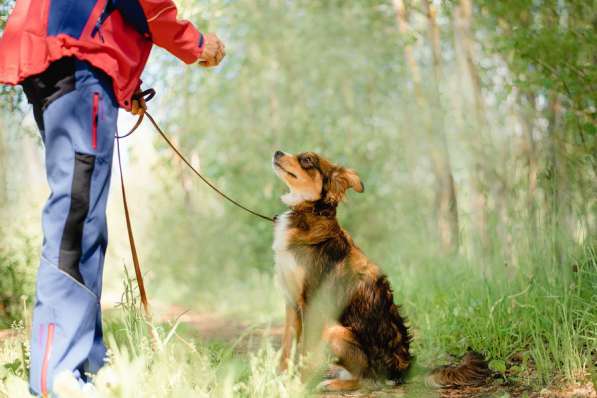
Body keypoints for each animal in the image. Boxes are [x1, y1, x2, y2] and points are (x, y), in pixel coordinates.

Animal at [272, 152, 486, 392]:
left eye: (307, 160)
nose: (278, 152)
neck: (310, 211)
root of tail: (405, 368)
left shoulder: (312, 306)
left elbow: (304, 353)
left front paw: (298, 386)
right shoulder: (291, 302)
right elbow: (286, 349)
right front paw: (277, 380)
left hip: (335, 331)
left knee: (366, 380)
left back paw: (333, 383)